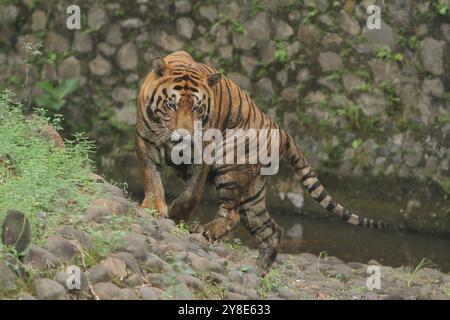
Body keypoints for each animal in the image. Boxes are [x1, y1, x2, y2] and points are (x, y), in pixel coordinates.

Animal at [134, 51, 386, 272]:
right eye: (171, 105)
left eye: (197, 108)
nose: (184, 136)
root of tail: (279, 129)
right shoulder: (145, 139)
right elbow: (151, 177)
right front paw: (152, 208)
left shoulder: (203, 150)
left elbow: (192, 192)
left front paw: (177, 214)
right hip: (252, 194)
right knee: (270, 228)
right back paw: (261, 269)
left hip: (231, 168)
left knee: (232, 215)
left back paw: (206, 232)